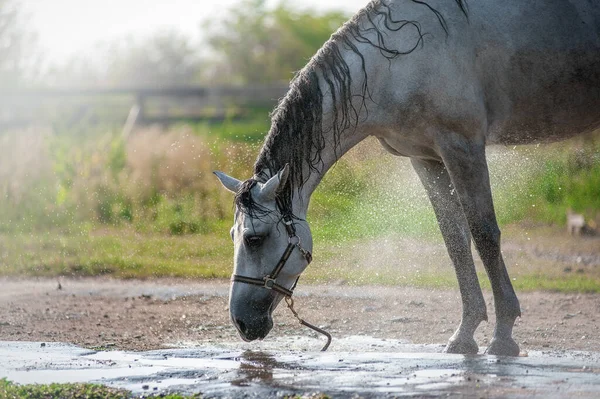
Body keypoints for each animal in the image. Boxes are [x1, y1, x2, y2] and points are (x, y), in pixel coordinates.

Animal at [216, 0, 600, 356]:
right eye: (235, 235)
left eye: (254, 239)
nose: (239, 321)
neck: (396, 62)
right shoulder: (426, 158)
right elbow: (455, 241)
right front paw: (465, 334)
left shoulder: (462, 147)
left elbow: (484, 235)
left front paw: (503, 336)